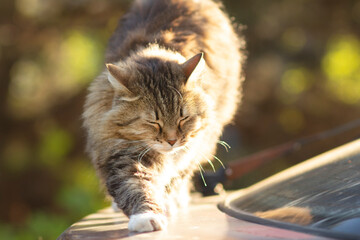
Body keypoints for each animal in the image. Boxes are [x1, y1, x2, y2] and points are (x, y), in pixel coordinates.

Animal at [82, 0, 245, 233]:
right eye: (153, 122)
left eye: (183, 119)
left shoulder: (191, 149)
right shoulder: (123, 156)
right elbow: (136, 187)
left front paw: (165, 203)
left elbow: (173, 180)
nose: (172, 140)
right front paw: (146, 217)